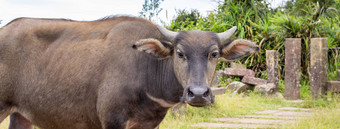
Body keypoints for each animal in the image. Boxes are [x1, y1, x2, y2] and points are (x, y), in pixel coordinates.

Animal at [0, 15, 258, 128]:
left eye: (214, 54)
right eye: (180, 53)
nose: (197, 94)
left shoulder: (148, 125)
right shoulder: (112, 120)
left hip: (21, 115)